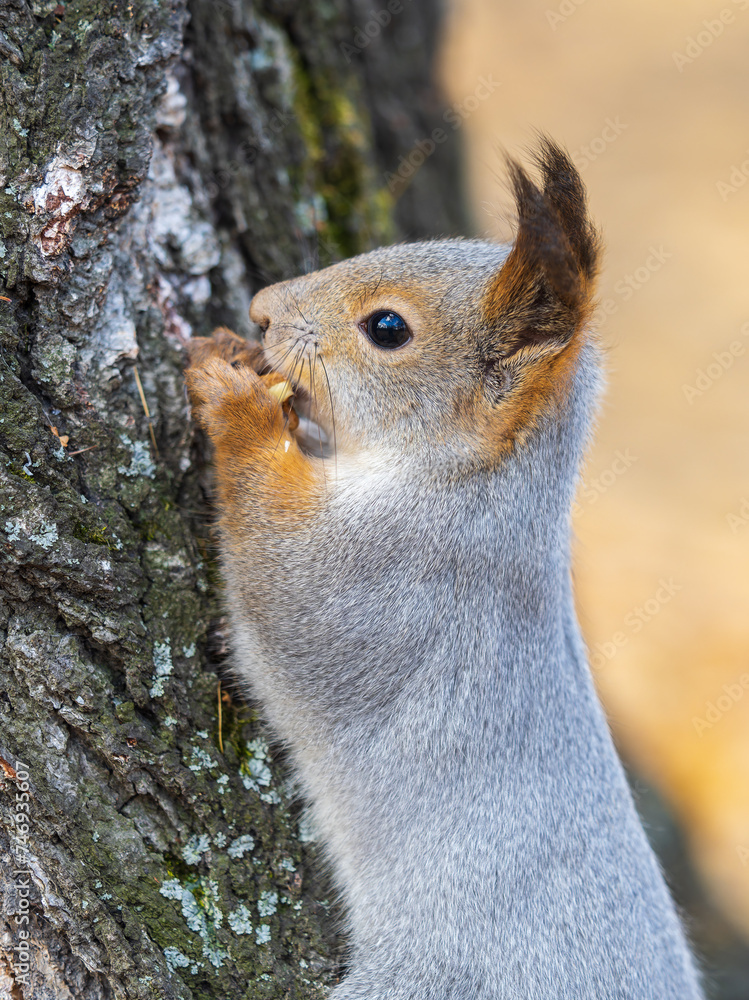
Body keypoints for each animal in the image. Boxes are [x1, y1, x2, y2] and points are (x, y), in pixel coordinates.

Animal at [185, 139, 704, 999]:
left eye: (387, 328)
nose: (261, 306)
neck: (472, 486)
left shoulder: (390, 580)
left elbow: (284, 586)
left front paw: (238, 406)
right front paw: (230, 355)